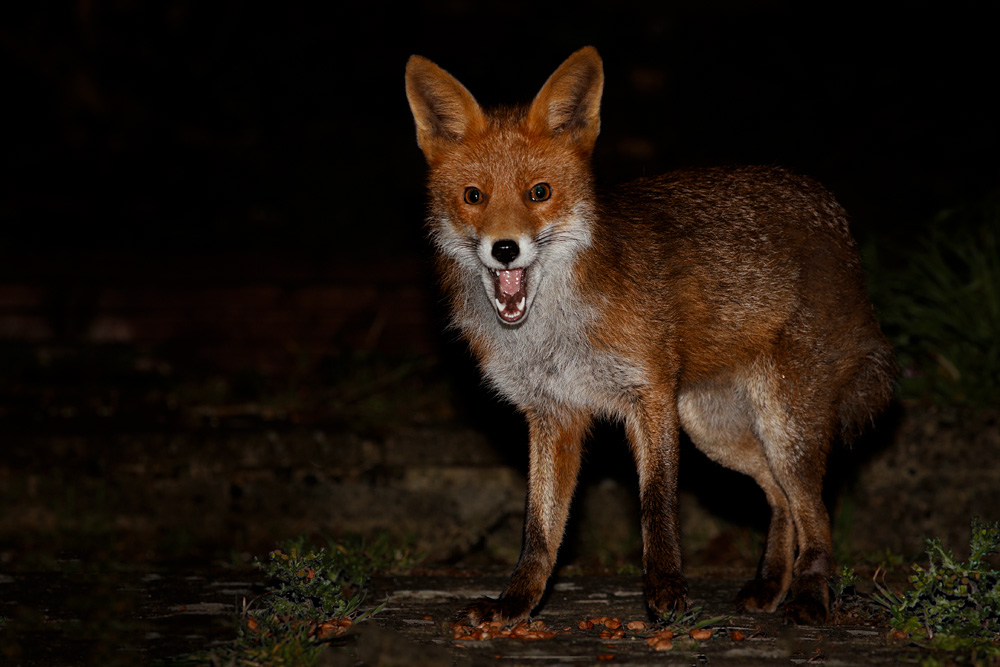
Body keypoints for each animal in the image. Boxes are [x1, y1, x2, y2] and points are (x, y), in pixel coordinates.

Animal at [405, 46, 895, 625]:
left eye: (539, 193)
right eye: (473, 196)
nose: (505, 249)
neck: (552, 335)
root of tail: (838, 224)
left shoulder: (651, 395)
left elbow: (656, 505)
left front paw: (666, 592)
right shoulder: (553, 414)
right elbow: (540, 529)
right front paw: (517, 603)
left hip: (782, 427)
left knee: (815, 510)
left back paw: (810, 594)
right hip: (716, 430)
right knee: (781, 501)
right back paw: (770, 583)